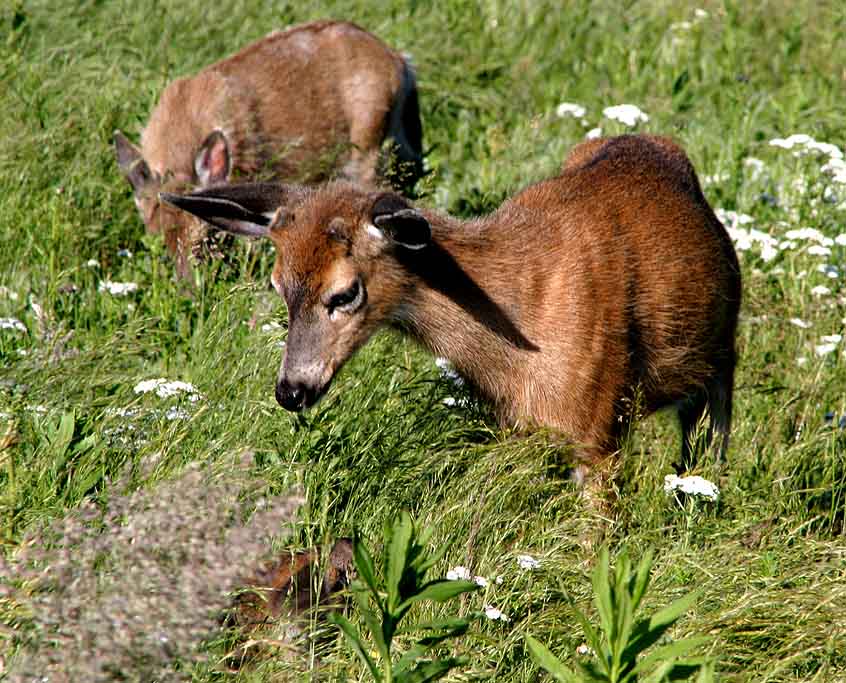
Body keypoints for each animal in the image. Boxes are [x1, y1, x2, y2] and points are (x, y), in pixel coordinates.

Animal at [164, 136, 744, 478]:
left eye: (344, 293)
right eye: (278, 286)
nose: (290, 390)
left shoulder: (599, 430)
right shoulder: (517, 428)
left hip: (720, 358)